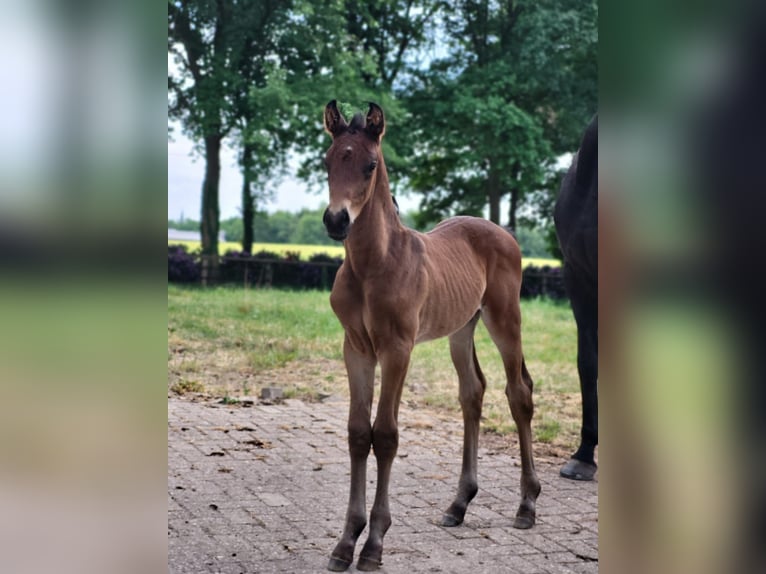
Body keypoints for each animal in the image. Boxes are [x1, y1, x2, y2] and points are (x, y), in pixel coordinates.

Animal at [321, 100, 540, 571]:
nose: (336, 220)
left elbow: (385, 435)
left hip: (504, 319)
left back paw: (527, 505)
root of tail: (502, 231)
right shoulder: (356, 348)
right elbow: (357, 433)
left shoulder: (397, 348)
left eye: (369, 164)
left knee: (519, 393)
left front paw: (374, 544)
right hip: (461, 328)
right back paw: (458, 504)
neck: (372, 265)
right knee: (473, 392)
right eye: (327, 161)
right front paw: (346, 542)